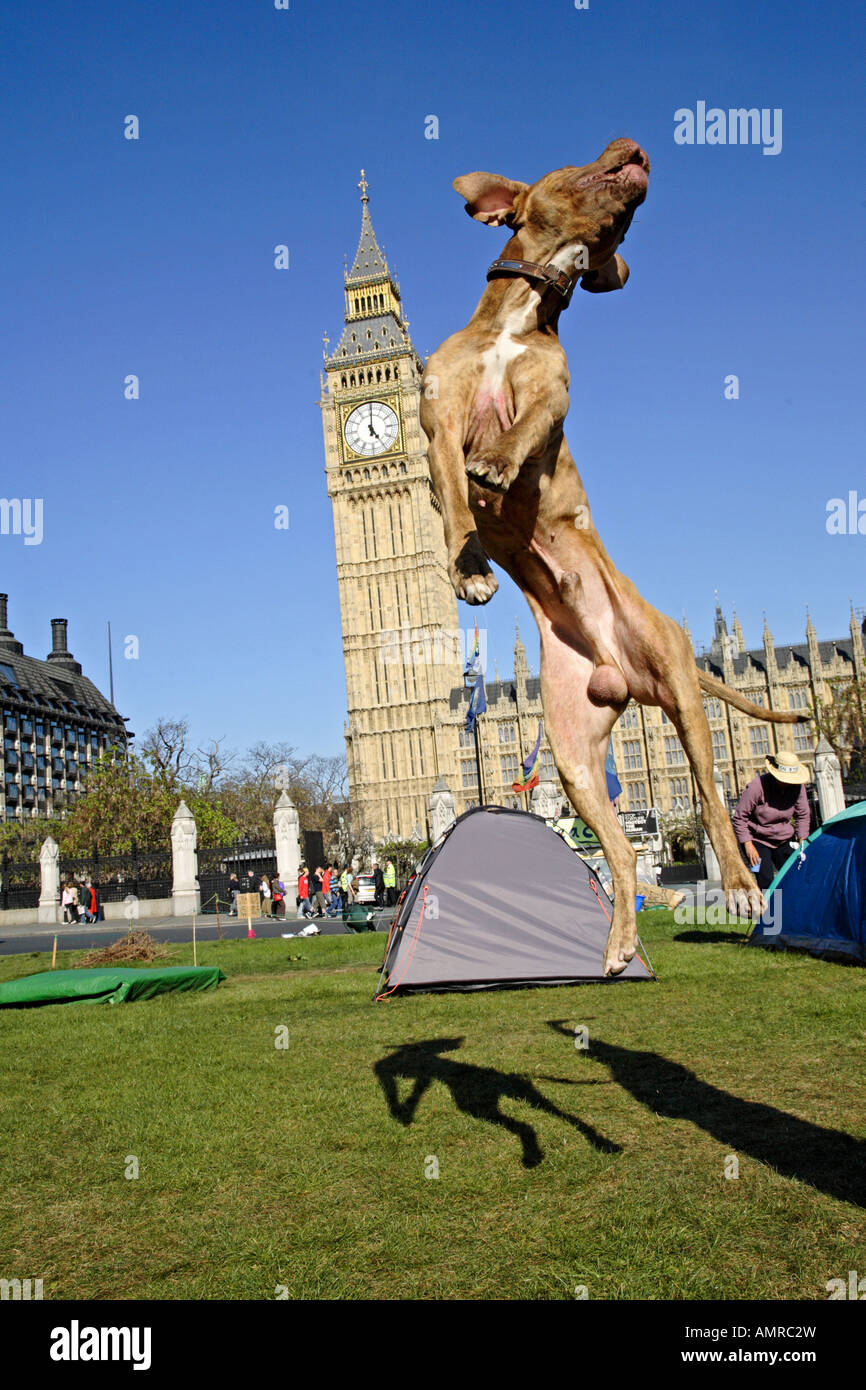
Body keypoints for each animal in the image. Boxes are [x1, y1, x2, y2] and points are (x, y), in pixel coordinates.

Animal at [419, 135, 800, 973]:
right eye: (571, 166)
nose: (636, 148)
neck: (523, 313)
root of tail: (617, 666)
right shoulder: (437, 421)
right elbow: (456, 497)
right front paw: (469, 565)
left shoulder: (554, 401)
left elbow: (527, 429)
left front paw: (501, 464)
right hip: (571, 755)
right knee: (622, 855)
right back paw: (621, 942)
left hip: (681, 695)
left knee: (710, 799)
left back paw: (738, 886)